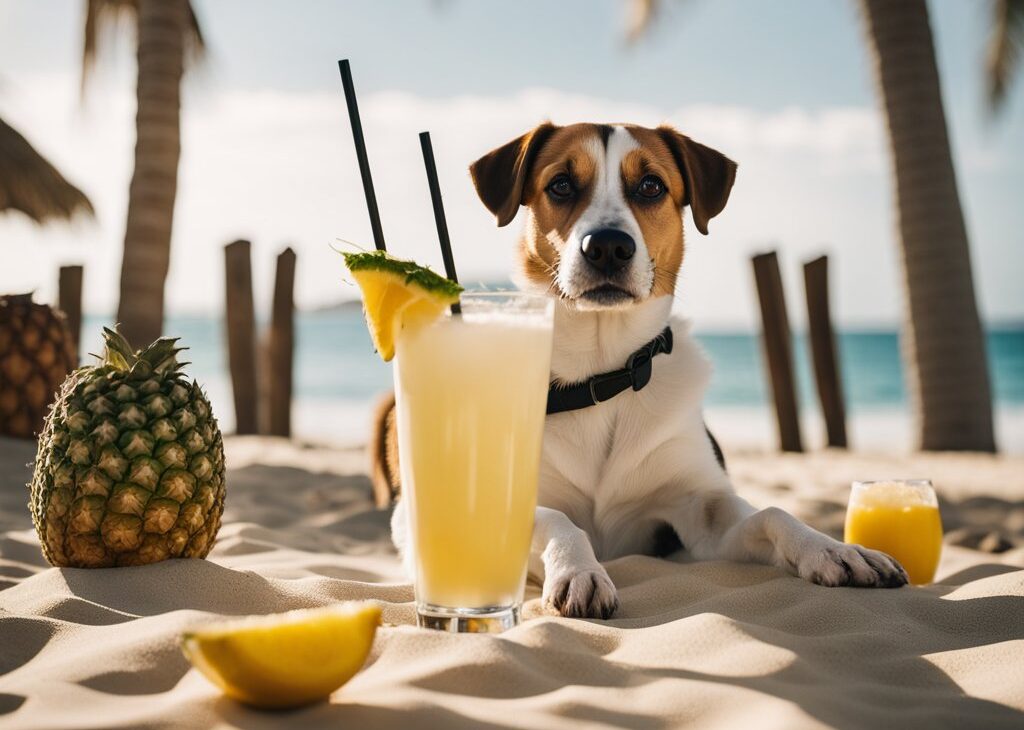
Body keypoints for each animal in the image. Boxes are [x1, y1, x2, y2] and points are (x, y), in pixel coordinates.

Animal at [368, 120, 905, 614]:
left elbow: (772, 512)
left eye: (651, 186)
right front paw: (579, 571)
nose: (607, 246)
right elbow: (557, 519)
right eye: (561, 184)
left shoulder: (697, 516)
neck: (604, 376)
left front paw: (832, 549)